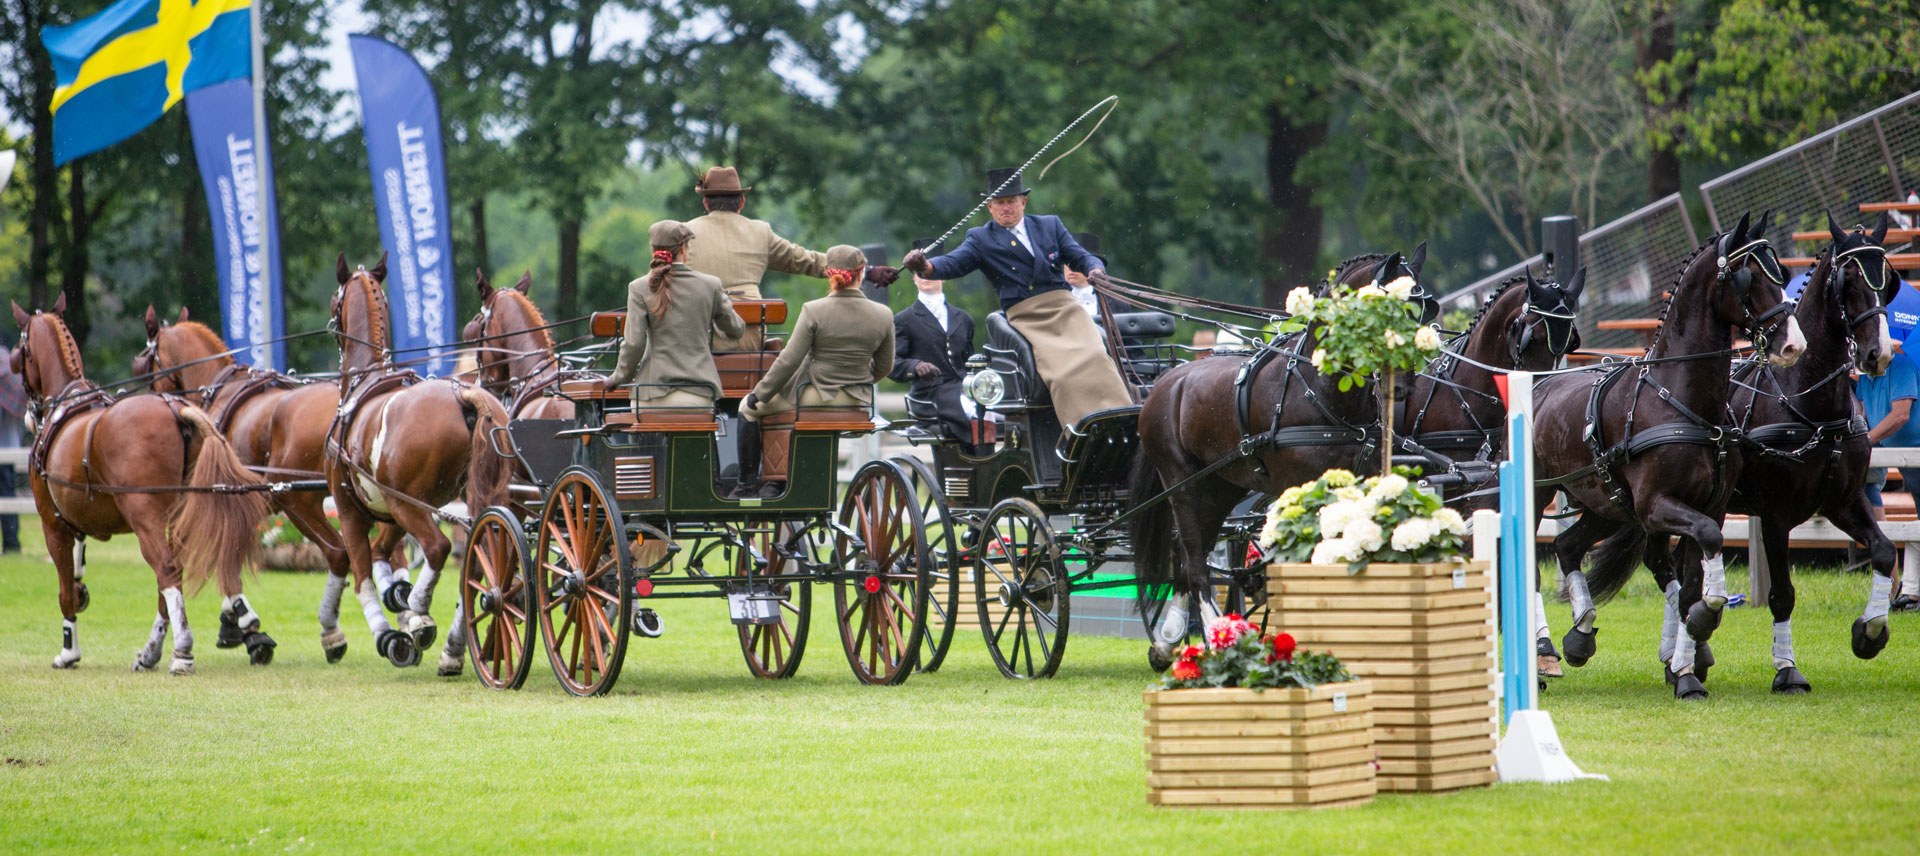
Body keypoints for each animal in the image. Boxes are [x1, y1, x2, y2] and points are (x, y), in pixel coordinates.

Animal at [13, 293, 270, 675]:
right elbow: (78, 570)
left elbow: (64, 590)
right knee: (172, 575)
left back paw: (182, 650)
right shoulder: (76, 520)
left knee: (166, 570)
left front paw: (68, 650)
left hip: (144, 517)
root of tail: (177, 411)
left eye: (19, 352)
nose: (30, 414)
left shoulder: (52, 523)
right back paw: (154, 650)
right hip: (179, 517)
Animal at [330, 253, 514, 675]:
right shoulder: (389, 512)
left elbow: (362, 576)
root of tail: (463, 395)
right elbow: (381, 555)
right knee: (477, 567)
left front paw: (391, 631)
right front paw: (396, 594)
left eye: (335, 299)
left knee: (439, 548)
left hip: (411, 505)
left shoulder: (351, 509)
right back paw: (452, 647)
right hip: (464, 502)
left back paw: (421, 613)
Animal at [1528, 211, 1797, 698]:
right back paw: (1546, 652)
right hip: (1546, 495)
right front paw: (1703, 628)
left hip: (1608, 503)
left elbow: (1689, 584)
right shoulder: (1658, 506)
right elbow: (1705, 553)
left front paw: (1687, 670)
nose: (1792, 343)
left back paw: (1579, 635)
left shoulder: (1706, 505)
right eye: (1748, 278)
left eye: (1781, 273)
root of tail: (1540, 383)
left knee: (1566, 545)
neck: (1681, 401)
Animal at [1635, 212, 1889, 694]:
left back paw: (1685, 657)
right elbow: (1782, 594)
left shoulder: (1843, 502)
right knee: (1666, 568)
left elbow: (1884, 550)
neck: (1807, 403)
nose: (1878, 354)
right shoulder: (1775, 514)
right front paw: (1787, 670)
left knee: (1678, 569)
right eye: (1847, 281)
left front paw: (1869, 631)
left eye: (1888, 279)